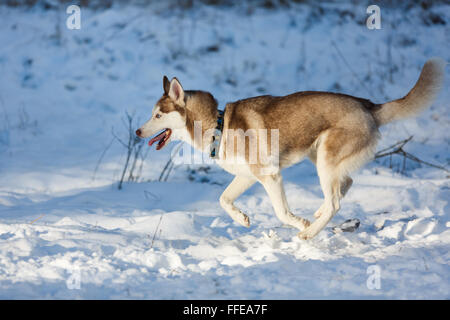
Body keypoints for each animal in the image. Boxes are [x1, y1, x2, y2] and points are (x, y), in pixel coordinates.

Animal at [137, 58, 446, 240]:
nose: (138, 132)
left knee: (336, 200)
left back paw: (310, 233)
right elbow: (224, 200)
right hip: (320, 158)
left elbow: (282, 212)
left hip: (325, 160)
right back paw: (320, 215)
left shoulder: (270, 176)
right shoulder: (248, 177)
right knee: (344, 185)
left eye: (157, 115)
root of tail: (369, 105)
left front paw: (302, 225)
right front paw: (242, 219)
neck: (219, 126)